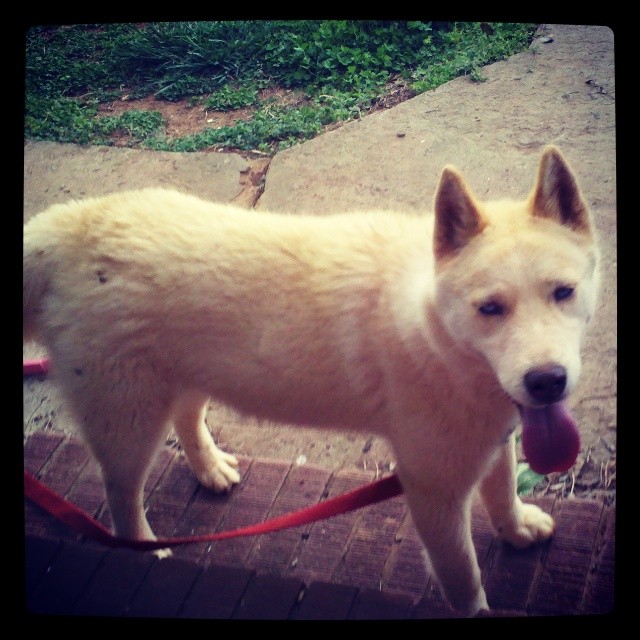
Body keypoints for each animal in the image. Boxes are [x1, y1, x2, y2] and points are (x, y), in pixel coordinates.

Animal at [23, 145, 599, 616]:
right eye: (490, 309)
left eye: (563, 292)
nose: (546, 382)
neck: (431, 327)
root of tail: (68, 224)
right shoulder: (434, 491)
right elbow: (465, 580)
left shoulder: (494, 437)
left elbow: (502, 490)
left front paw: (517, 529)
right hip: (128, 422)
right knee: (121, 493)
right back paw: (145, 550)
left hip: (189, 377)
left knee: (187, 420)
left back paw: (209, 470)